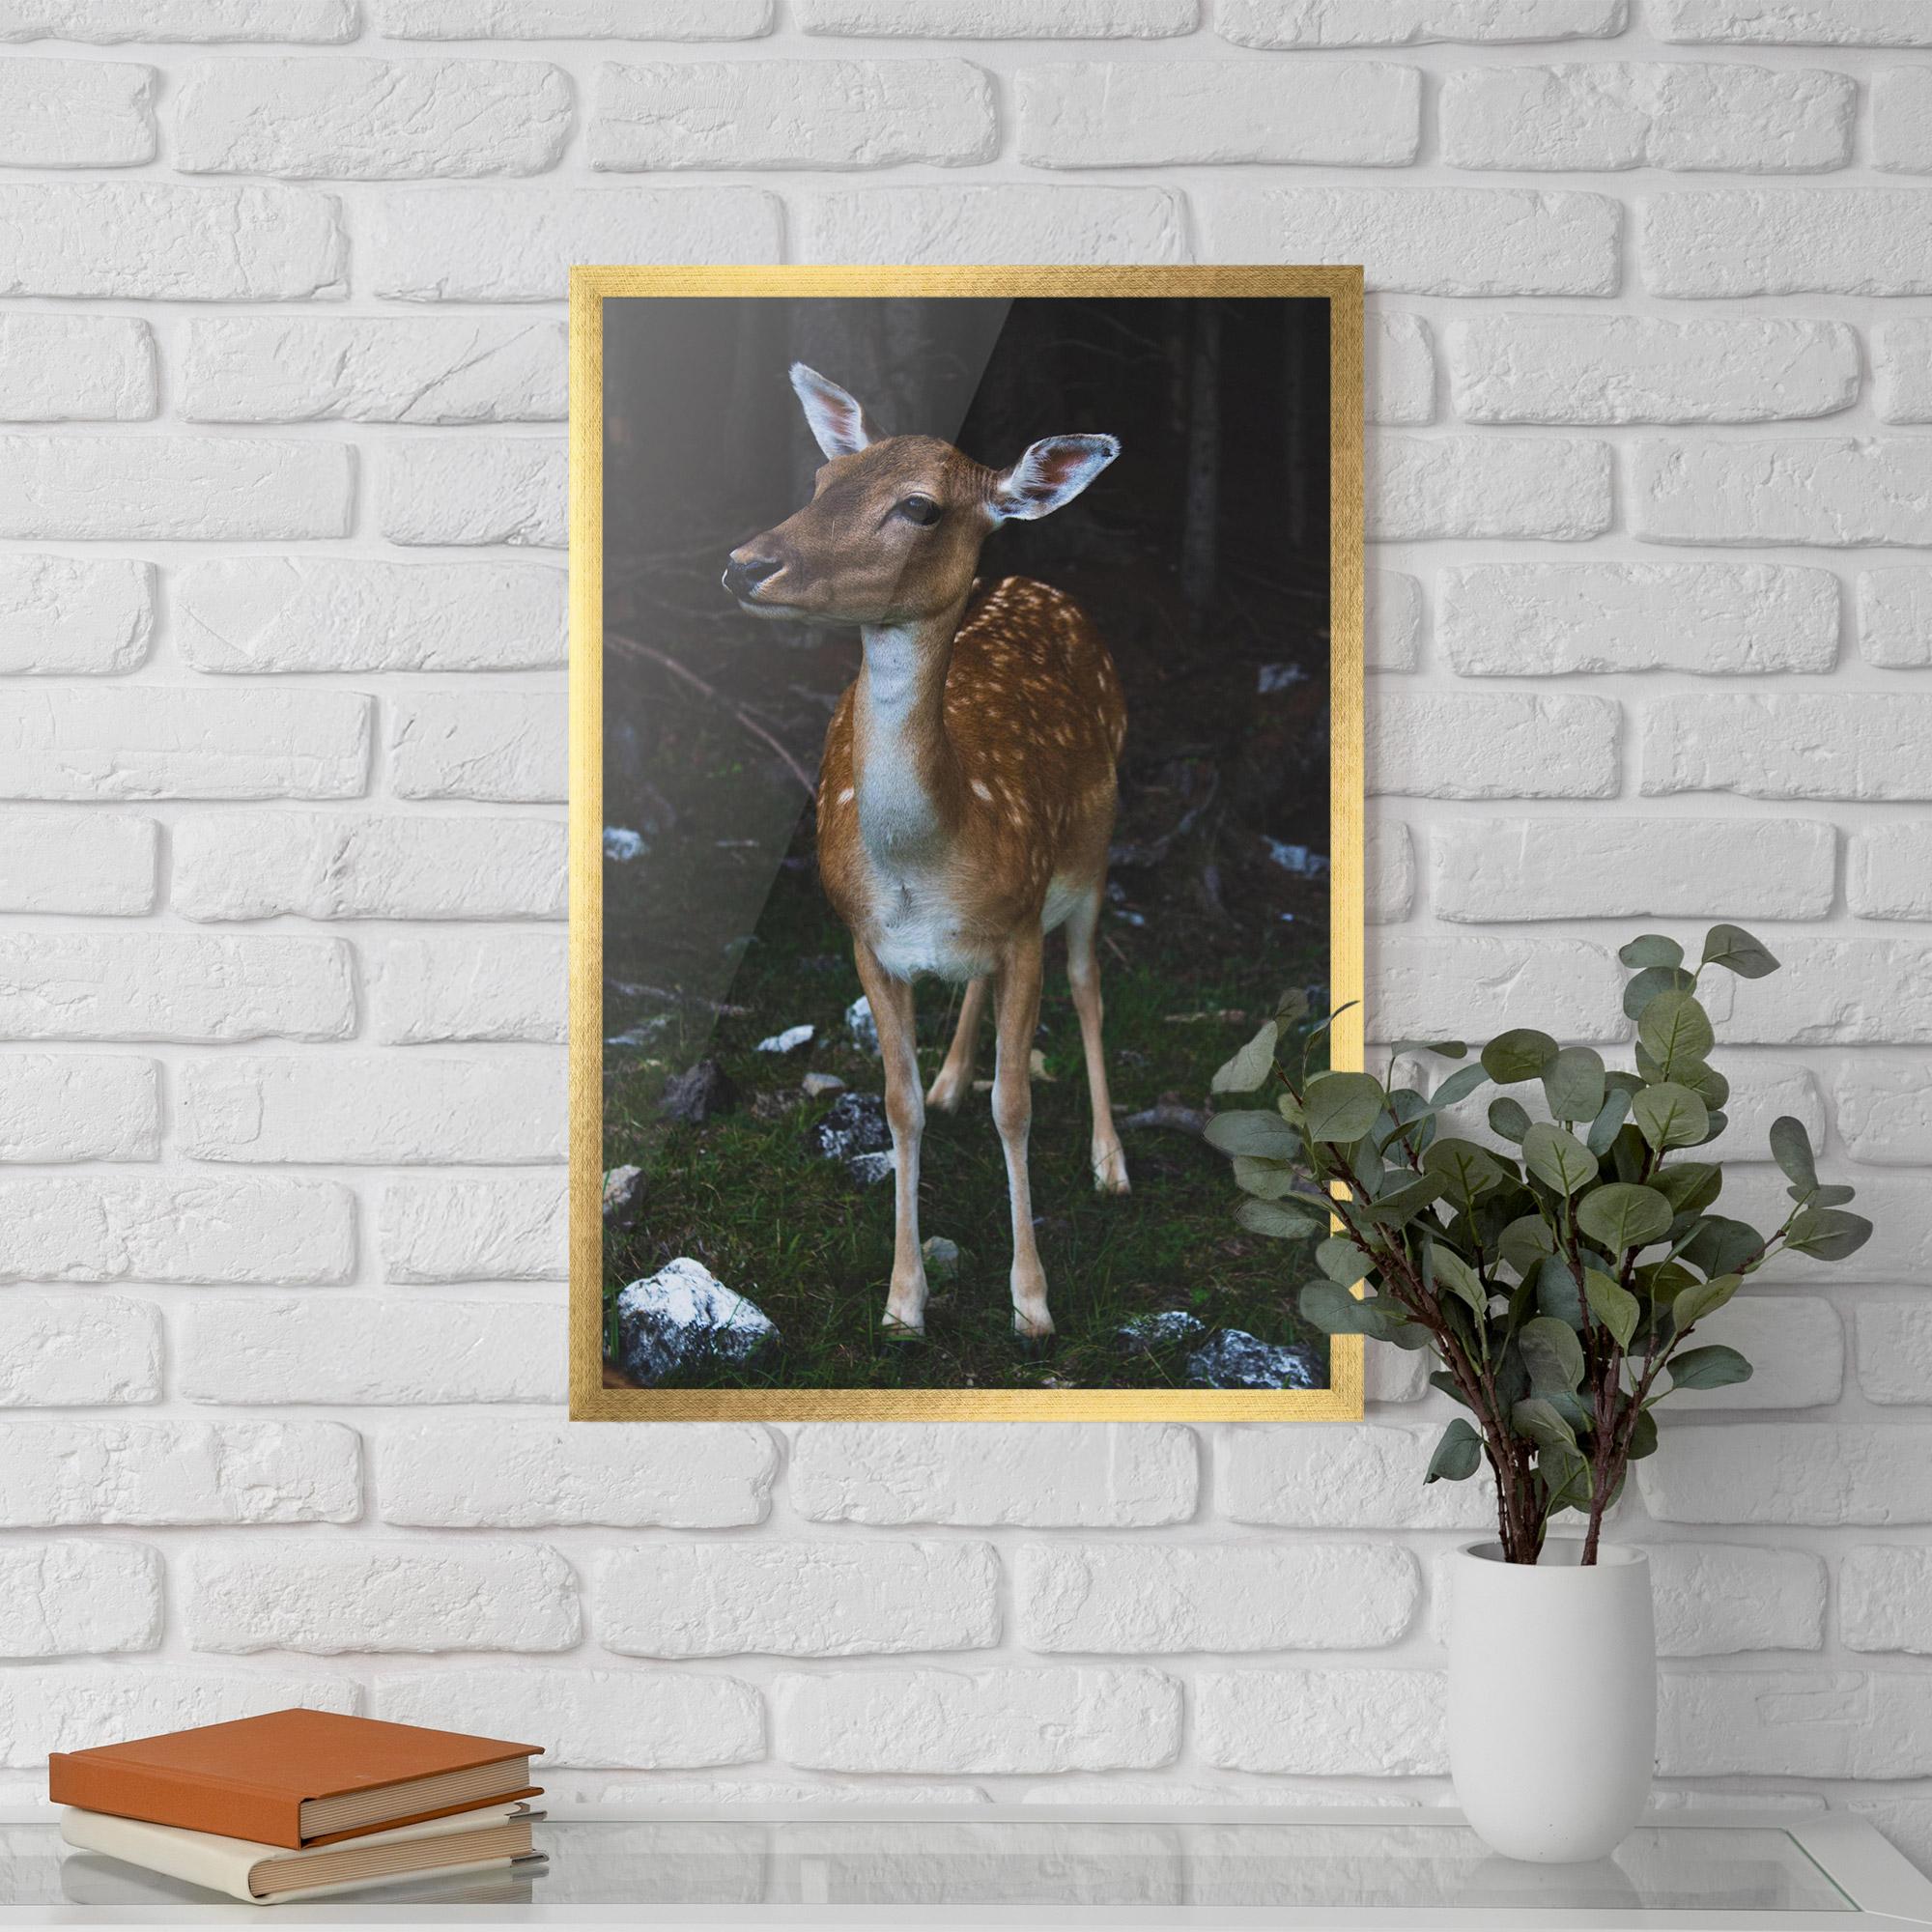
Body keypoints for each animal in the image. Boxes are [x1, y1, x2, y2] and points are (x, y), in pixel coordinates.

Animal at [721, 363, 1130, 1343]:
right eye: (824, 480)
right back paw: (952, 1079)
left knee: (1089, 983)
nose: (746, 563)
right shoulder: (866, 939)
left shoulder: (1022, 922)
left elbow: (1015, 1105)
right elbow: (896, 1106)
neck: (928, 860)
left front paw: (1032, 1301)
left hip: (1093, 854)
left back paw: (1111, 1163)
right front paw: (903, 1300)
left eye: (919, 507)